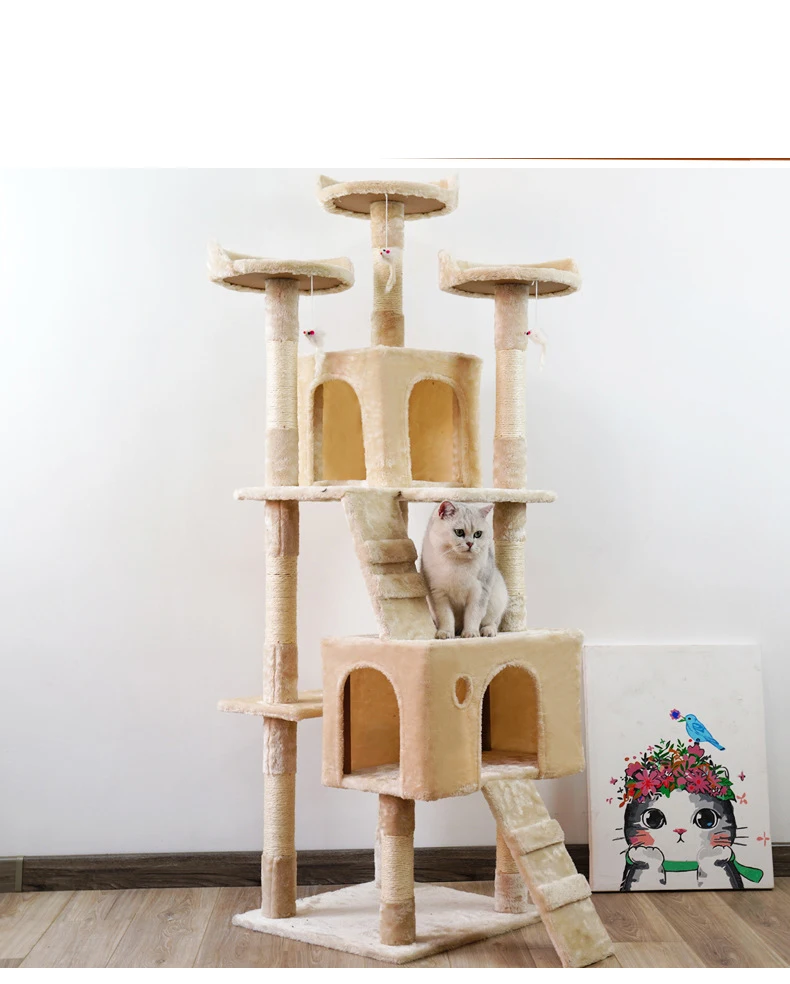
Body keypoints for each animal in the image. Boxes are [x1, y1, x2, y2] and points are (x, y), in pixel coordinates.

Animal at [420, 500, 508, 640]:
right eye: (459, 532)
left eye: (478, 534)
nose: (470, 544)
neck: (458, 563)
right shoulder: (438, 594)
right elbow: (446, 617)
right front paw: (445, 633)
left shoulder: (479, 592)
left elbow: (473, 615)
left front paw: (470, 633)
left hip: (497, 600)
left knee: (493, 622)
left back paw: (487, 631)